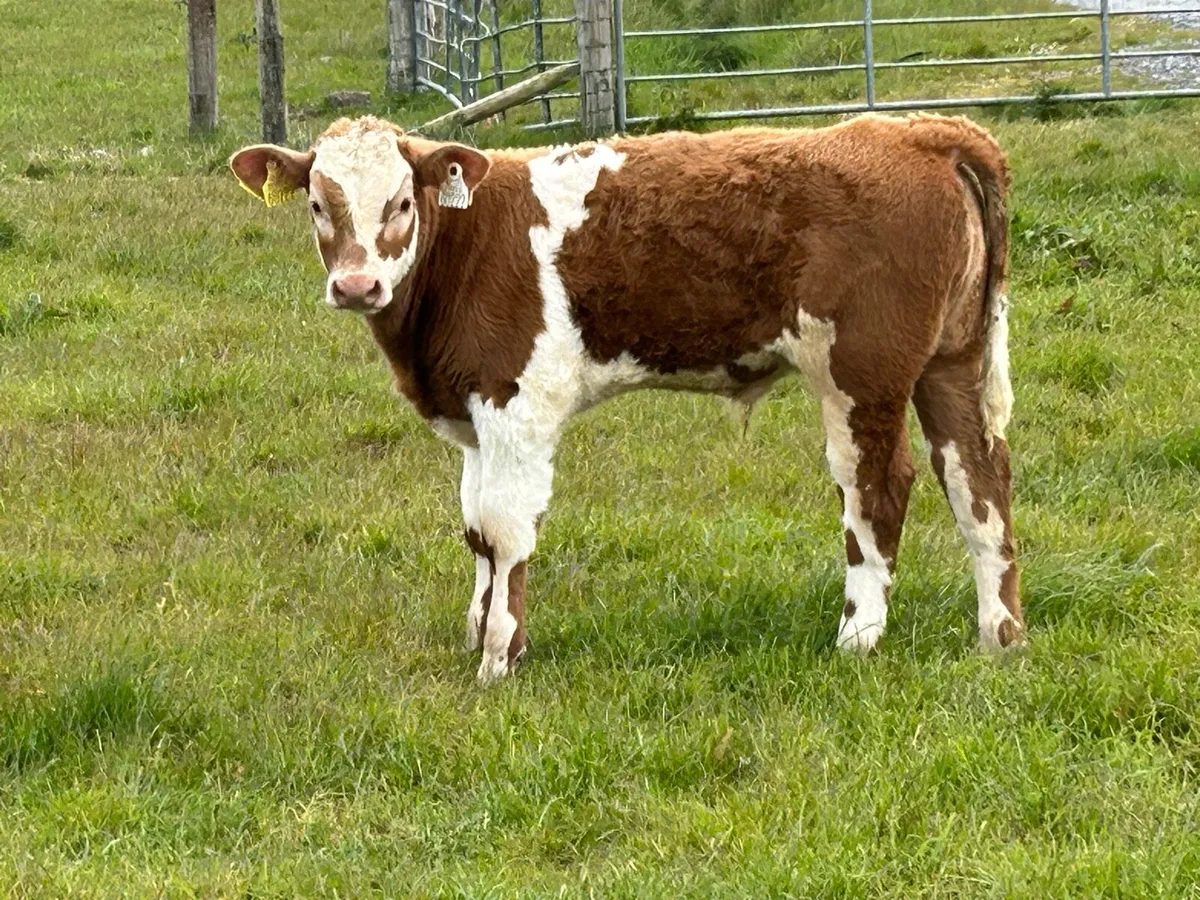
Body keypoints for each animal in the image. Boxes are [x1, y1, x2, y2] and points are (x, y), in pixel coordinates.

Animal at [230, 113, 1021, 684]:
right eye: (316, 204)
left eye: (399, 202)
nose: (356, 286)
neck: (468, 245)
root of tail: (918, 130)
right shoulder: (473, 412)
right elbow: (477, 530)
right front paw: (477, 633)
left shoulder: (516, 402)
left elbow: (506, 530)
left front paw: (499, 658)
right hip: (952, 360)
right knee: (977, 478)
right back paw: (1001, 635)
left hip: (863, 372)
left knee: (877, 490)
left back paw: (859, 637)